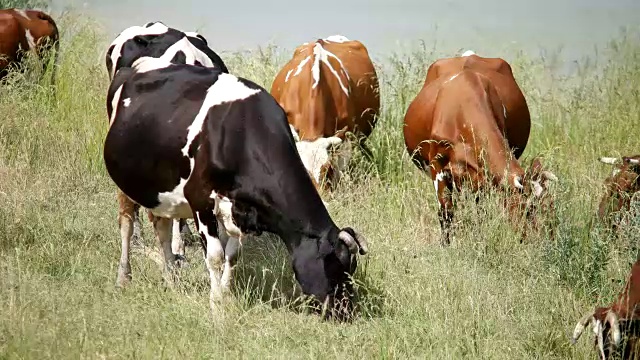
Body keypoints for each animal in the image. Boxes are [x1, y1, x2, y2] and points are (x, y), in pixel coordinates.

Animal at [105, 56, 370, 318]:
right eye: (337, 266)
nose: (347, 311)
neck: (242, 133)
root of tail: (138, 64)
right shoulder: (200, 199)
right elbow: (215, 256)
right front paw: (216, 307)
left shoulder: (242, 213)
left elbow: (232, 256)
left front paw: (226, 296)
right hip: (126, 185)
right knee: (126, 225)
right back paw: (123, 278)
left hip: (159, 189)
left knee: (162, 228)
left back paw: (172, 281)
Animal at [404, 50, 556, 246]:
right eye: (530, 209)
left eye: (551, 206)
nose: (549, 243)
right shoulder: (437, 167)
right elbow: (446, 212)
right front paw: (446, 245)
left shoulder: (483, 177)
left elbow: (481, 212)